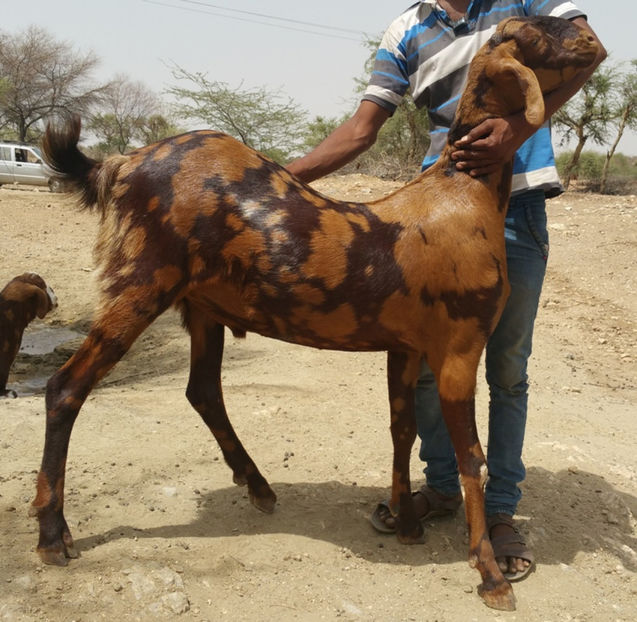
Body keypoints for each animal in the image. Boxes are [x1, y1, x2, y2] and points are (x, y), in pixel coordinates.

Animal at [32, 15, 600, 616]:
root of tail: (121, 163)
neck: (460, 192)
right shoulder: (460, 348)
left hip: (201, 307)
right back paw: (51, 534)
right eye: (538, 30)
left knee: (202, 390)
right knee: (66, 388)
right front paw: (489, 574)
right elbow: (472, 457)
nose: (588, 32)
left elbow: (403, 429)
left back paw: (257, 486)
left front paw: (406, 524)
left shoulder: (406, 347)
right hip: (138, 285)